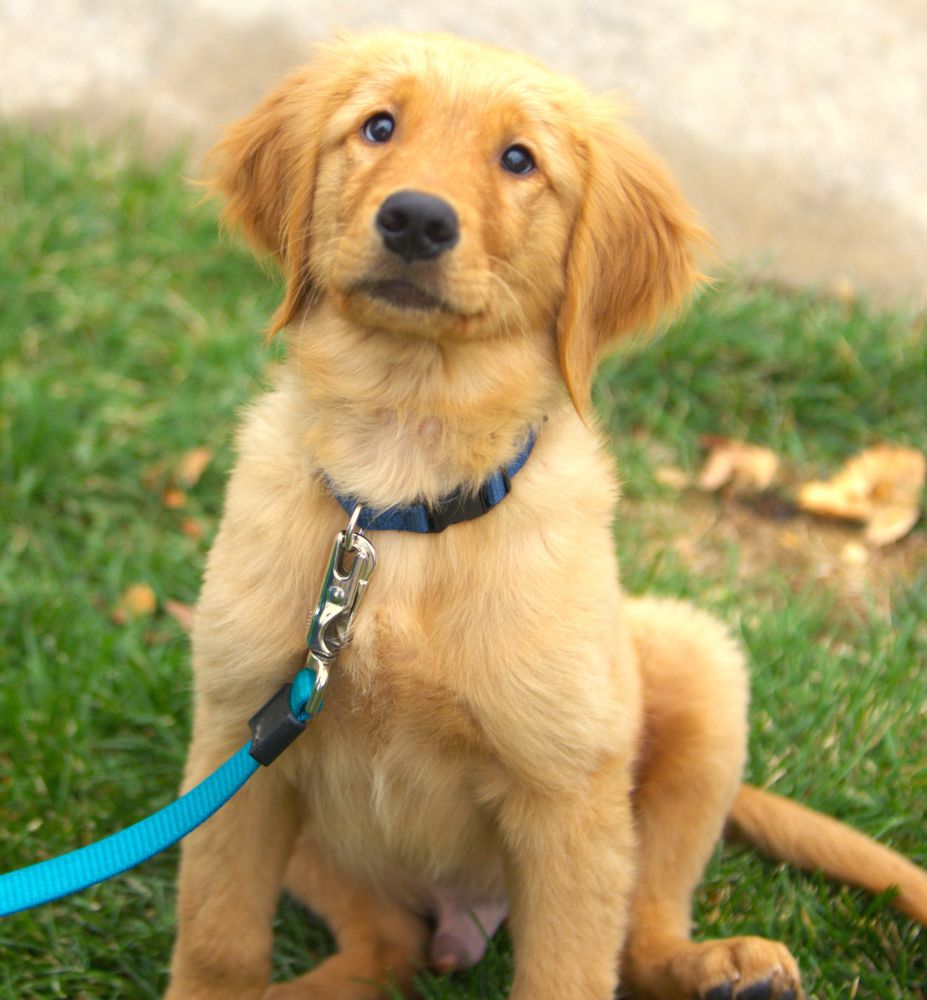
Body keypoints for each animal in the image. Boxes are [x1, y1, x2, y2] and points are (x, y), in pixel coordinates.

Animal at [167, 31, 927, 1000]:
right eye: (377, 127)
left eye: (519, 159)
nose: (416, 220)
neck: (403, 483)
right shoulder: (240, 742)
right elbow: (217, 940)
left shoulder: (569, 795)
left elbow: (569, 968)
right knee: (388, 946)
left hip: (695, 669)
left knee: (641, 933)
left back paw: (723, 967)